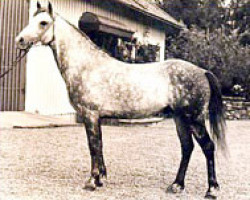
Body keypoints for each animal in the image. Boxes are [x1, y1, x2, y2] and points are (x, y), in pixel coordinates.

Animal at [15, 2, 227, 199]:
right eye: (32, 19)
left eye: (43, 22)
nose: (20, 40)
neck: (86, 67)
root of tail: (202, 71)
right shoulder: (95, 117)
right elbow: (99, 146)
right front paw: (101, 179)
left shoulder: (90, 115)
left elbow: (93, 146)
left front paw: (92, 181)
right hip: (180, 119)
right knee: (187, 147)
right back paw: (176, 185)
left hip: (195, 119)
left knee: (208, 147)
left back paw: (212, 190)